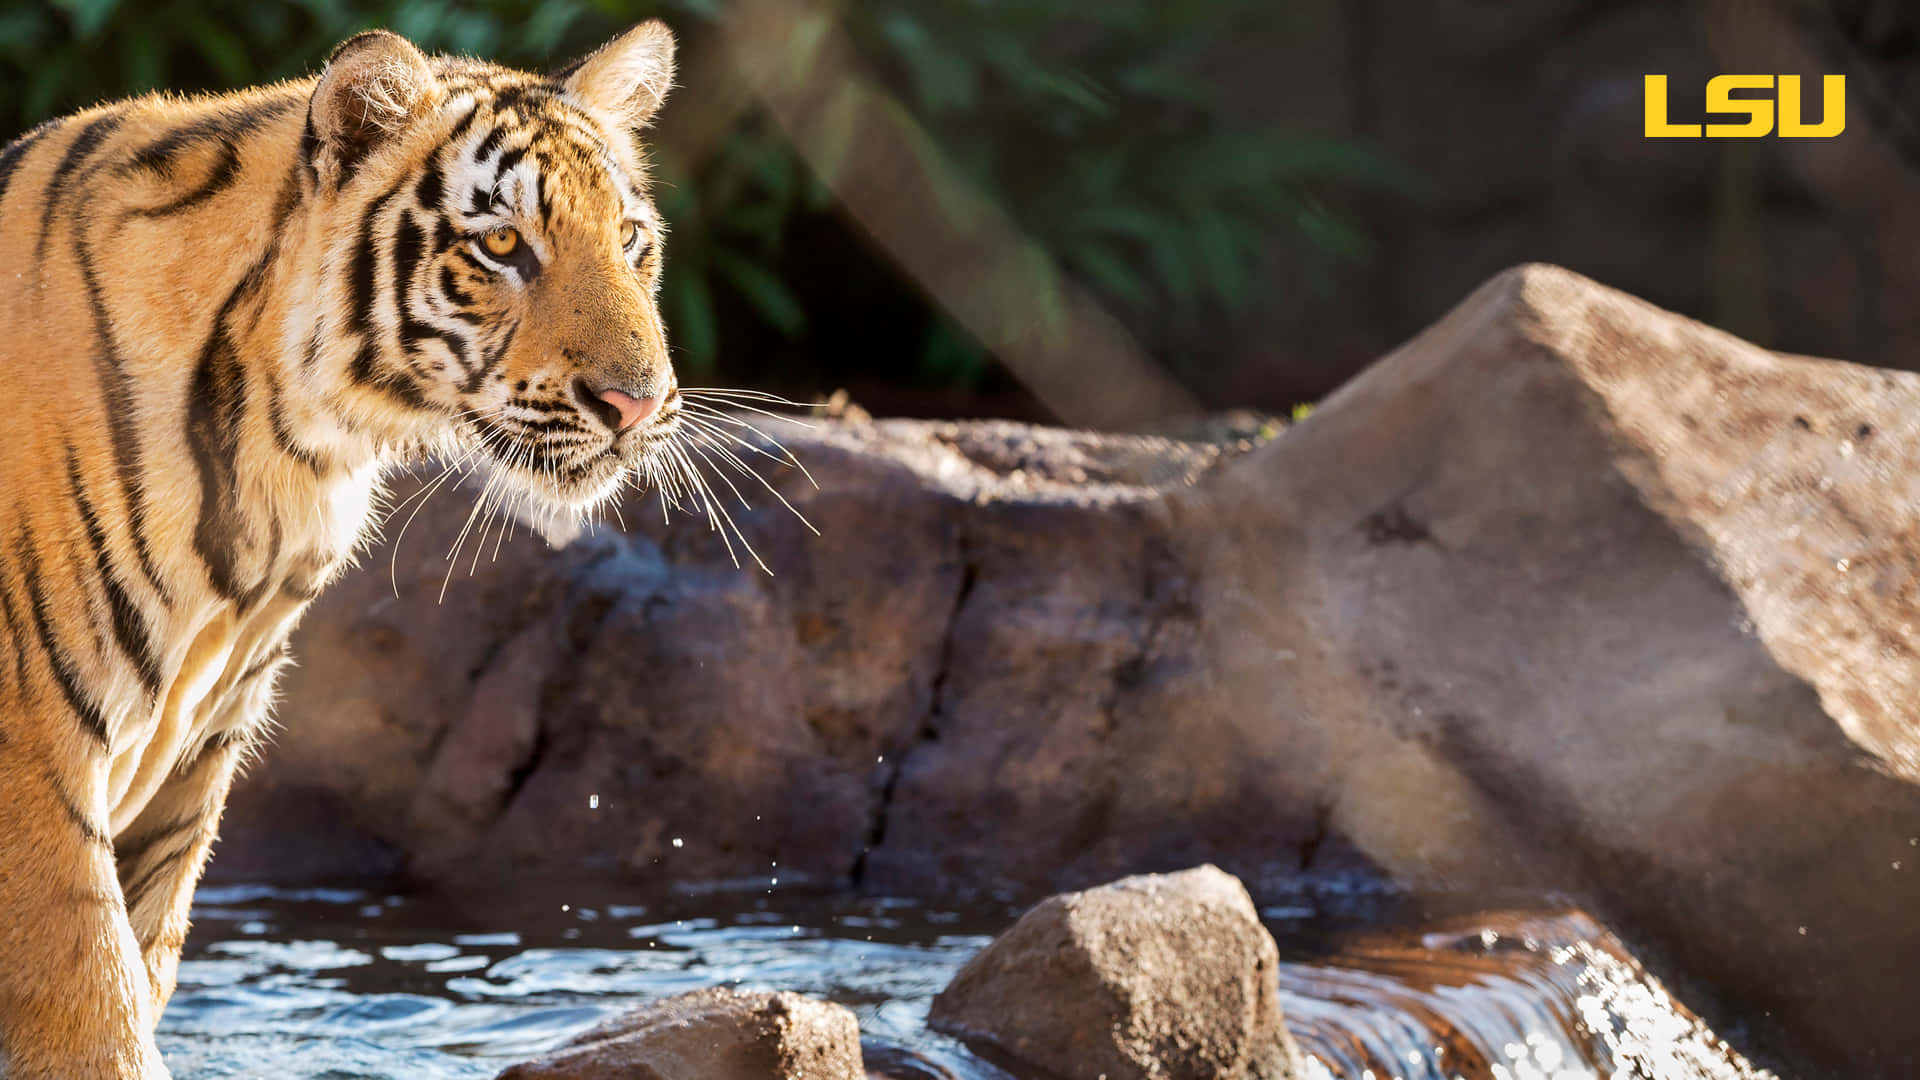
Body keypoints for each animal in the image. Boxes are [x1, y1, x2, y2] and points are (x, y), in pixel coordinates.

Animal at [0, 22, 683, 1078]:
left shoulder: (191, 762)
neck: (287, 450)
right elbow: (92, 1012)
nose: (638, 405)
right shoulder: (34, 763)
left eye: (630, 239)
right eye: (501, 244)